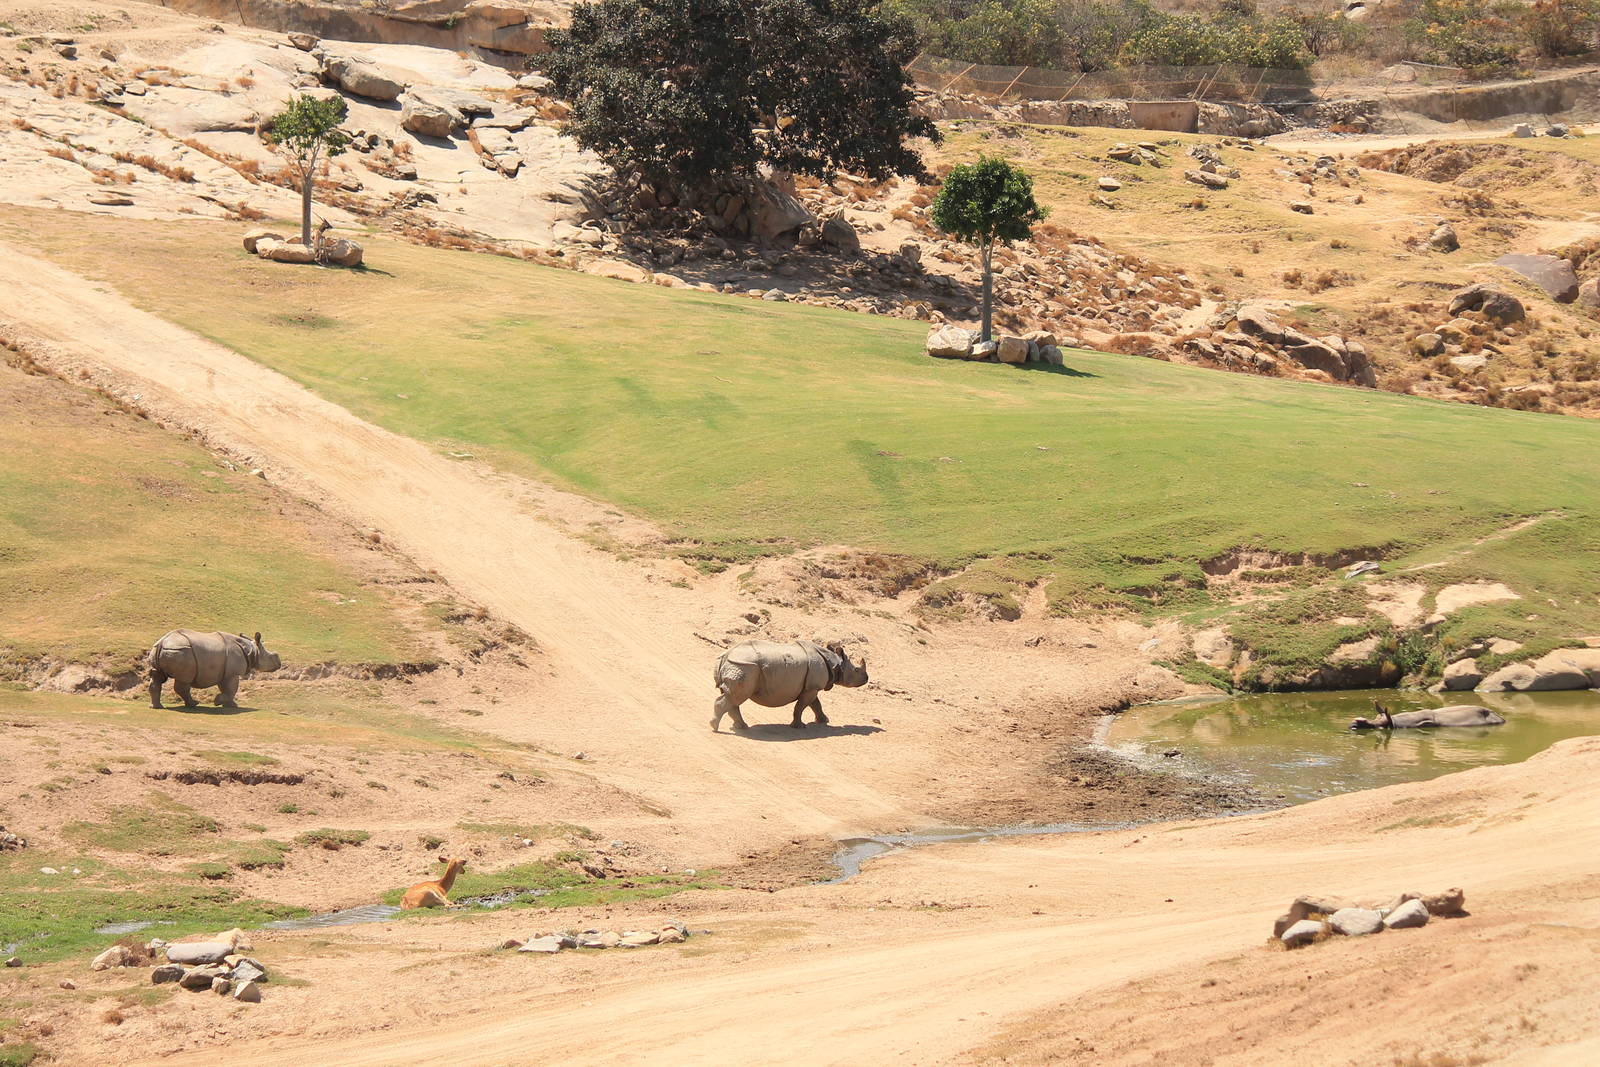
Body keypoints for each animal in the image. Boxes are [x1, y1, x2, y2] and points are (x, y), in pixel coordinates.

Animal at [148, 629, 282, 709]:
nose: (279, 664)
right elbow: (231, 690)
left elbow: (226, 689)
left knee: (157, 676)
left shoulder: (225, 672)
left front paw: (231, 705)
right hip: (182, 651)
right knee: (184, 681)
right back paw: (193, 704)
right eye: (272, 657)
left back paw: (157, 707)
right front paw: (218, 702)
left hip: (161, 649)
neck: (252, 650)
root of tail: (162, 642)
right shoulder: (232, 673)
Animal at [712, 640, 868, 731]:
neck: (835, 661)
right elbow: (801, 707)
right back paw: (715, 727)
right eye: (856, 670)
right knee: (737, 696)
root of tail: (726, 655)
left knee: (731, 696)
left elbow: (816, 704)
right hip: (744, 666)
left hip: (738, 666)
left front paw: (824, 721)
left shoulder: (811, 686)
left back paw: (741, 727)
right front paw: (799, 727)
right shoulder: (812, 687)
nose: (866, 678)